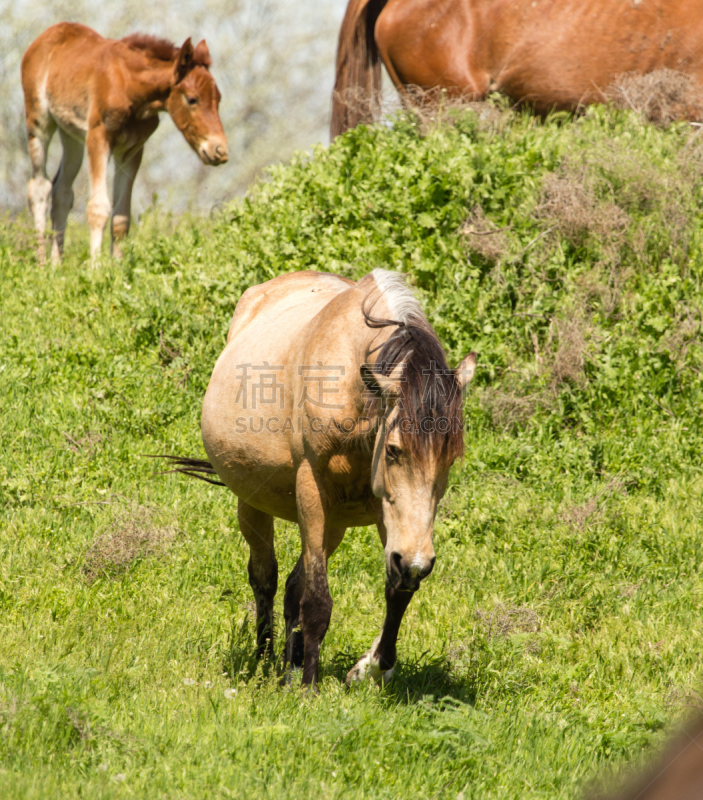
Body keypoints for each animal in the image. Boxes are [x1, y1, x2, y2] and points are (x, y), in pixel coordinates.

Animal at [20, 23, 228, 262]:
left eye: (218, 99)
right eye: (192, 99)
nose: (220, 150)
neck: (129, 87)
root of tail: (50, 32)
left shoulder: (132, 150)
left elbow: (121, 218)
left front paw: (116, 266)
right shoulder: (98, 138)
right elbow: (98, 208)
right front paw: (96, 267)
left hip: (71, 135)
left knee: (61, 190)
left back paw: (57, 264)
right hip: (39, 122)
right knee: (39, 187)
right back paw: (42, 262)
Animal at [170, 270, 476, 688]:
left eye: (449, 461)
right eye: (393, 450)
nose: (418, 561)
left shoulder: (388, 516)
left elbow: (397, 589)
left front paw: (370, 667)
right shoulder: (312, 492)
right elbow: (317, 600)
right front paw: (309, 688)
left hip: (335, 524)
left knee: (291, 588)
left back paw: (289, 666)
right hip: (253, 504)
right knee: (265, 577)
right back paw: (265, 661)